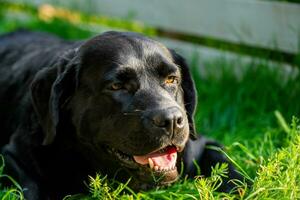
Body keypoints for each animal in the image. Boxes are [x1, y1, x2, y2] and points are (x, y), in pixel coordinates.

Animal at [0, 30, 244, 199]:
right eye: (117, 86)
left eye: (171, 79)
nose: (172, 121)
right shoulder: (15, 155)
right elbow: (30, 188)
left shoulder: (202, 145)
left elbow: (230, 169)